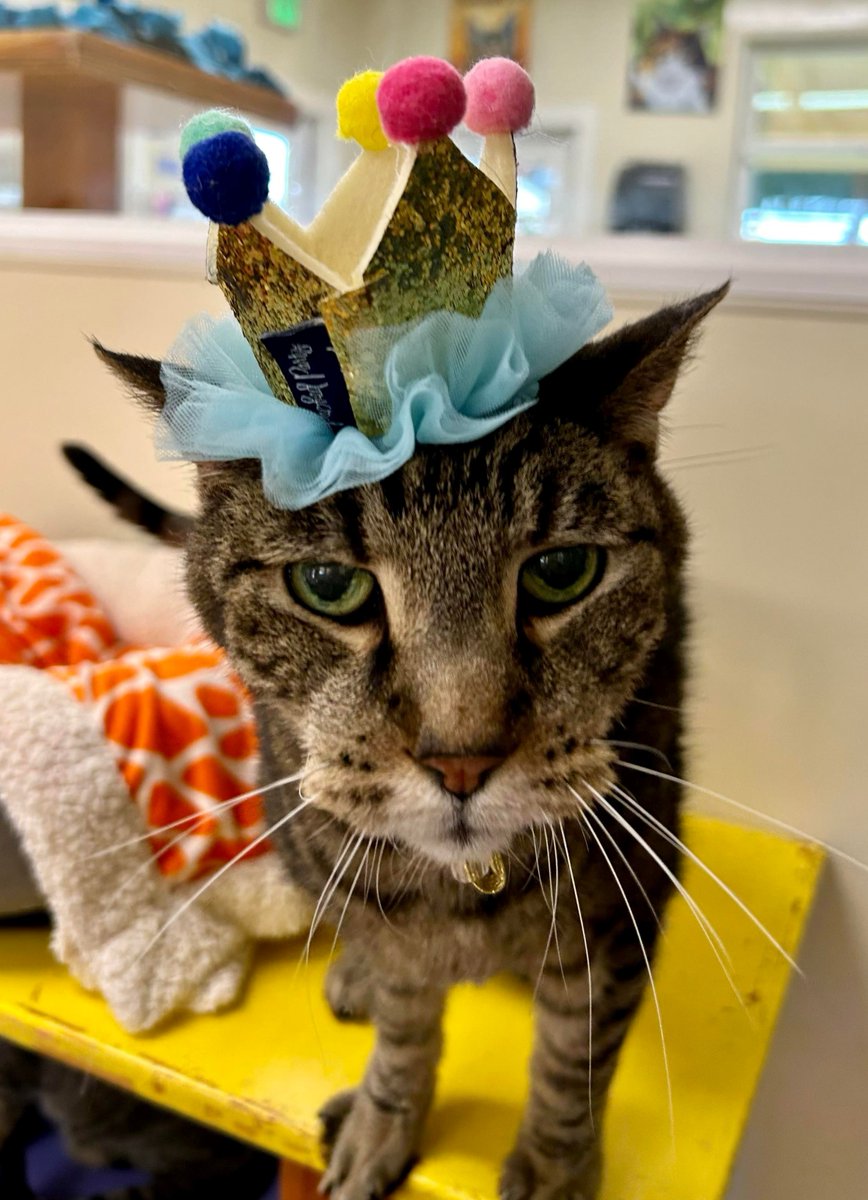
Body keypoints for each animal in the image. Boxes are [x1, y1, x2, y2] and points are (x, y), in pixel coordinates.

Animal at [84, 283, 725, 1200]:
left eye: (561, 572)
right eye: (327, 585)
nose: (461, 757)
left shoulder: (619, 910)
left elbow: (573, 1060)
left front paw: (555, 1164)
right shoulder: (380, 914)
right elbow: (403, 1027)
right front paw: (385, 1121)